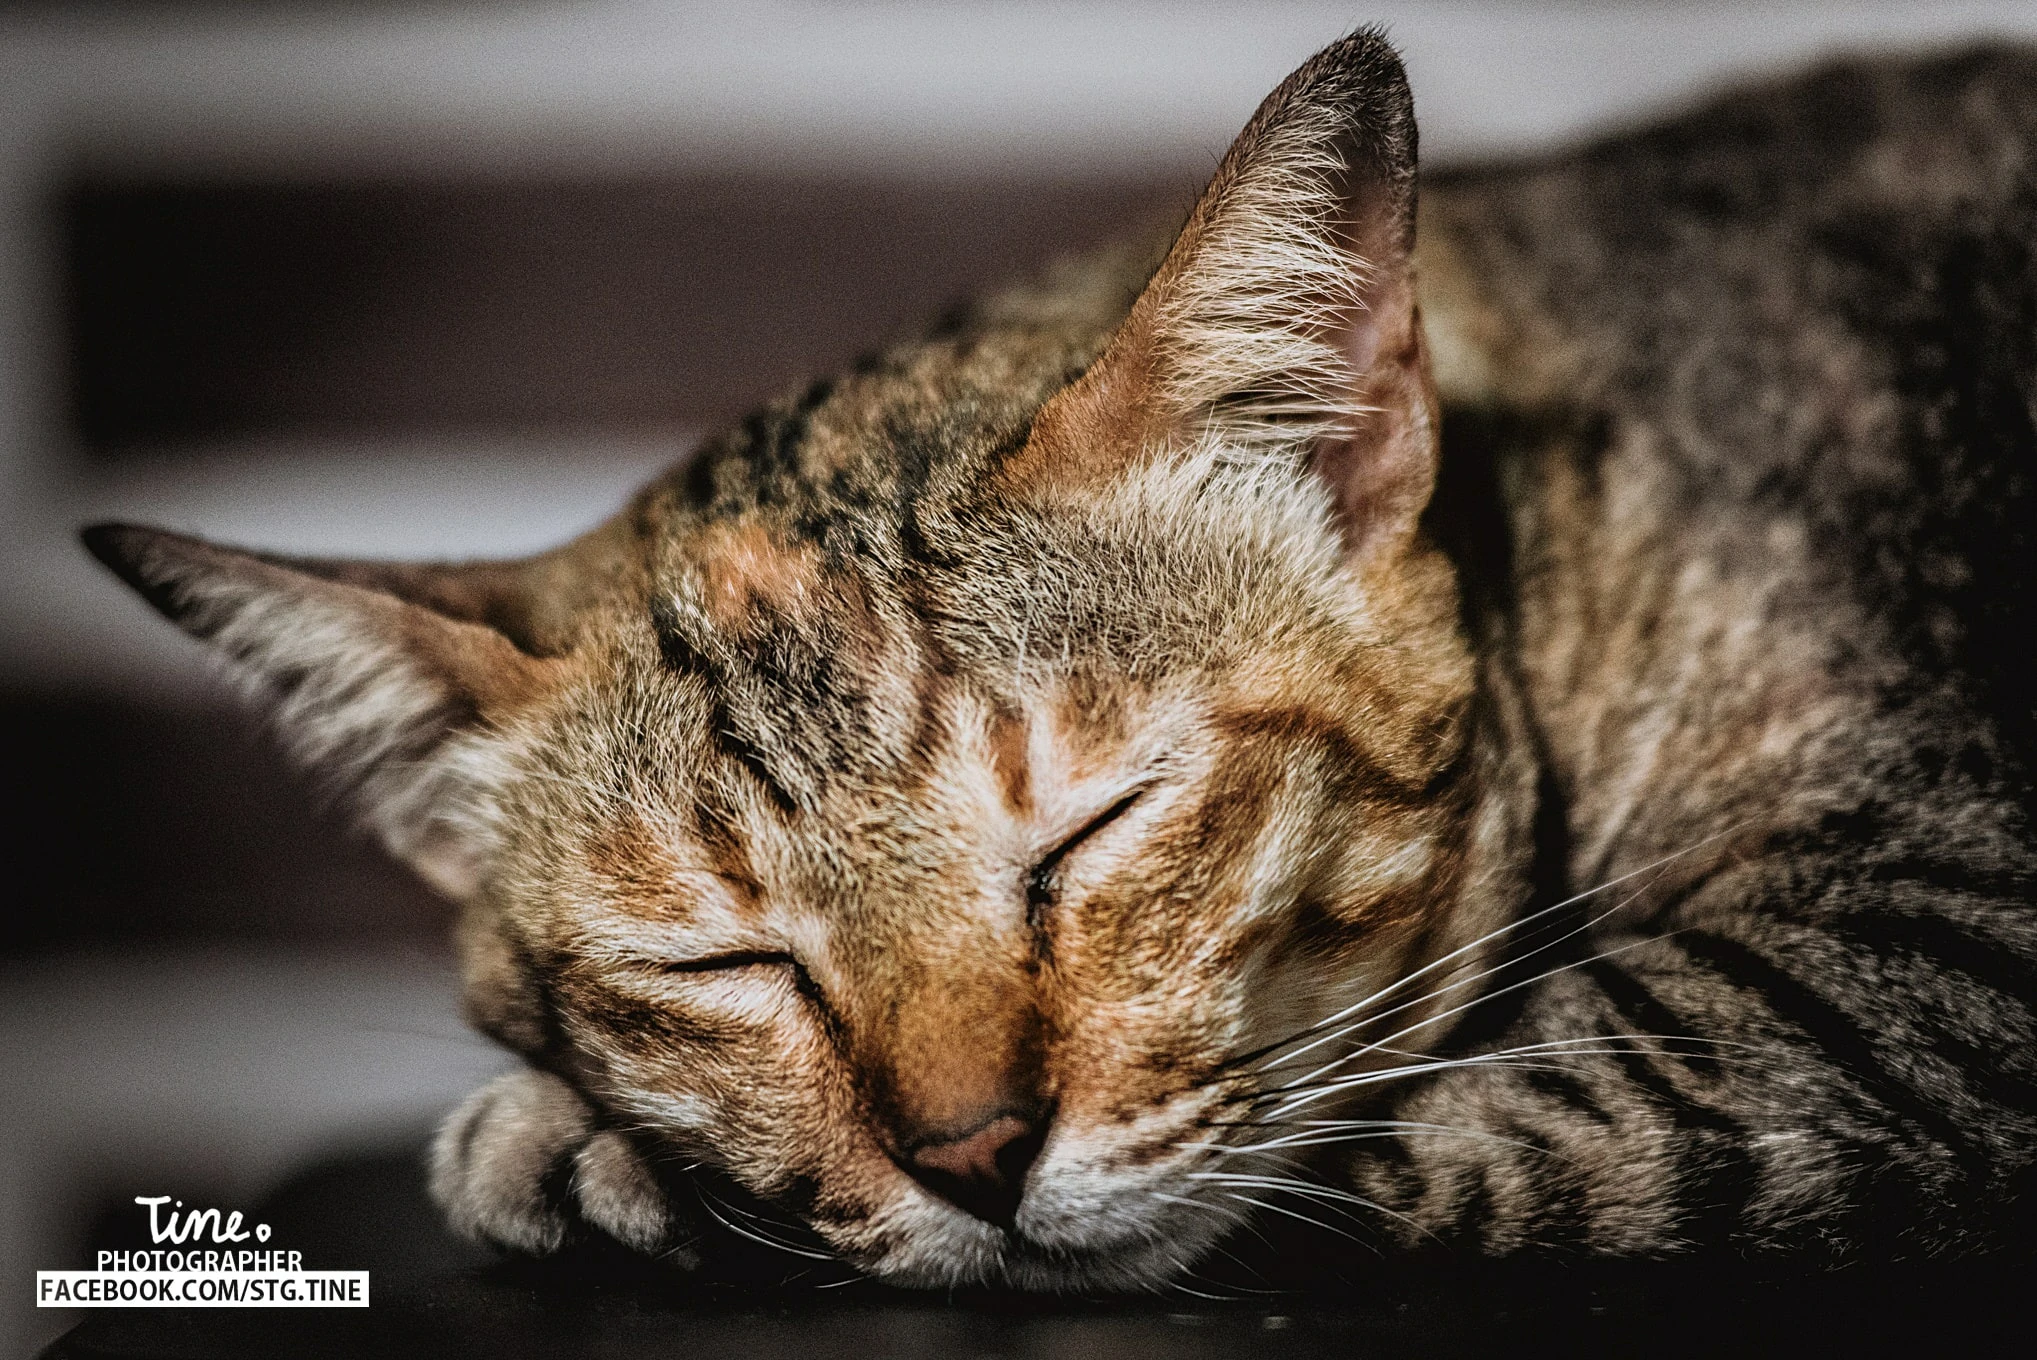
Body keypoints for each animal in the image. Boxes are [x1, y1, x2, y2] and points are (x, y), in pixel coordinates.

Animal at [83, 29, 2037, 1286]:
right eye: (724, 963)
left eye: (1092, 832)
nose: (971, 1156)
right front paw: (612, 1136)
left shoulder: (1927, 940)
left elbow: (1480, 1101)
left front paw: (571, 1141)